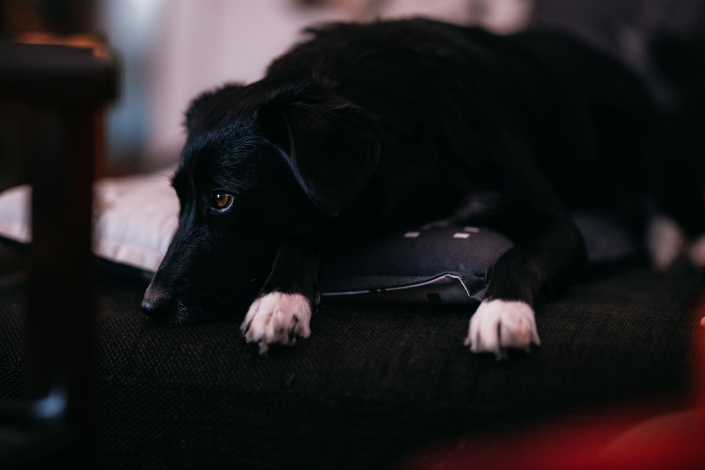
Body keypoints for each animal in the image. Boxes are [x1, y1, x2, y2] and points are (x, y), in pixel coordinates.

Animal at [140, 18, 700, 356]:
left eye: (223, 199)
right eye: (179, 200)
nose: (150, 307)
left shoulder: (555, 222)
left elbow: (517, 253)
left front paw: (502, 311)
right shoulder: (358, 202)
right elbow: (302, 234)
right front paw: (280, 300)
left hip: (644, 147)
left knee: (660, 195)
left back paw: (677, 242)